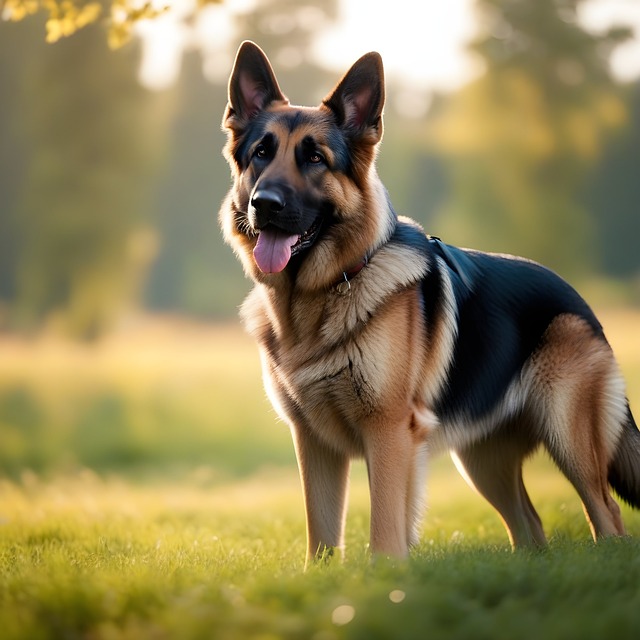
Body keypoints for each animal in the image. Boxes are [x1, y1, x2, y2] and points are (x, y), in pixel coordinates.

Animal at [220, 41, 640, 560]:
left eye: (315, 158)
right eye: (261, 153)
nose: (265, 204)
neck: (328, 288)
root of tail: (580, 301)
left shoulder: (388, 434)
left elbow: (384, 532)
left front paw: (384, 576)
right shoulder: (315, 445)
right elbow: (321, 539)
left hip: (569, 440)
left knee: (609, 515)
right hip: (483, 463)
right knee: (531, 526)